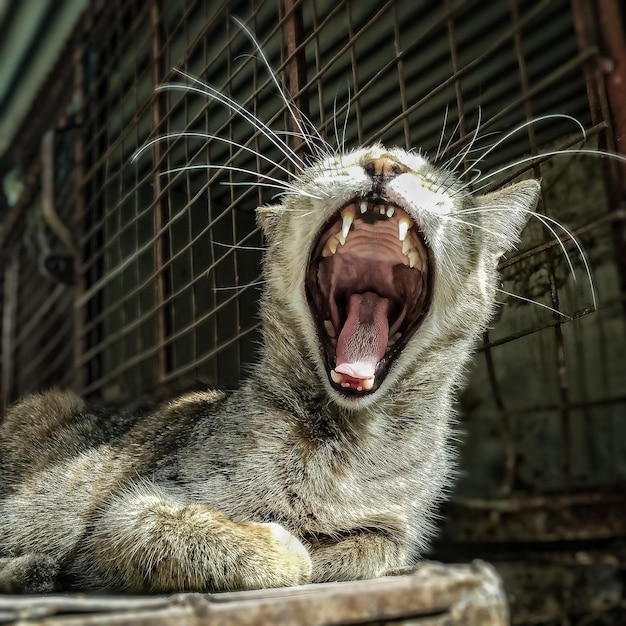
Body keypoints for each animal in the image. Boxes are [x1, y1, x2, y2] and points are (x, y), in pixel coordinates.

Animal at [0, 135, 536, 588]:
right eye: (341, 160)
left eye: (431, 175)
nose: (384, 163)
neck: (347, 444)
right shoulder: (126, 512)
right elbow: (177, 532)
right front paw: (281, 546)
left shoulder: (395, 530)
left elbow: (373, 547)